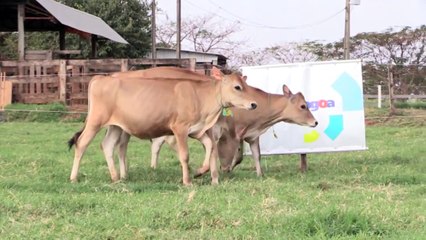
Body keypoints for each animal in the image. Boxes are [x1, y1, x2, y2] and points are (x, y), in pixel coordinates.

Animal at [68, 66, 258, 185]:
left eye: (246, 84)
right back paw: (73, 178)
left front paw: (199, 171)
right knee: (82, 143)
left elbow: (210, 145)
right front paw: (187, 181)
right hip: (95, 121)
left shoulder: (197, 131)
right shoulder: (179, 129)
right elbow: (185, 155)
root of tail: (101, 78)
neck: (200, 96)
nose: (254, 104)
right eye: (237, 87)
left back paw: (115, 178)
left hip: (116, 126)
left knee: (108, 145)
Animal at [151, 84, 318, 176]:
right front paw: (224, 170)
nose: (315, 122)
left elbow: (253, 156)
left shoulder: (250, 135)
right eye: (303, 106)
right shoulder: (229, 135)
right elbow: (228, 157)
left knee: (159, 143)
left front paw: (260, 174)